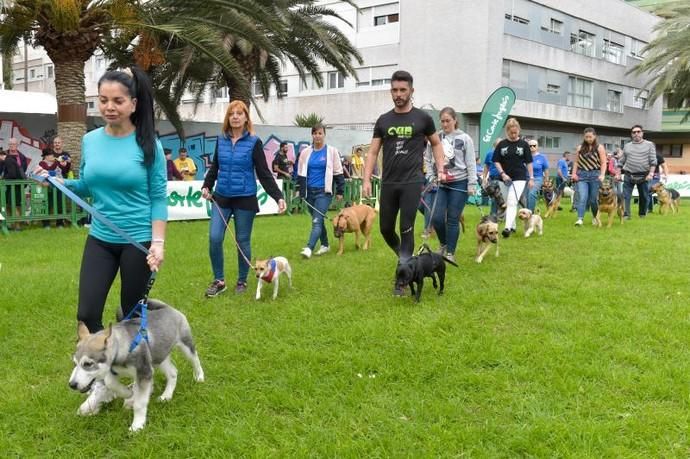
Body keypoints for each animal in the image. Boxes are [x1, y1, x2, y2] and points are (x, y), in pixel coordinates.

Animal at [70, 300, 204, 434]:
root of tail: (168, 307)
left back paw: (199, 376)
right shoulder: (114, 372)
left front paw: (137, 425)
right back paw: (166, 395)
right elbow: (110, 383)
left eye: (88, 364)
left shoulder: (144, 372)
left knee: (195, 359)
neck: (124, 347)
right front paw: (128, 394)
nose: (71, 385)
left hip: (185, 345)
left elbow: (139, 403)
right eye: (75, 362)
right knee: (173, 372)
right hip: (159, 357)